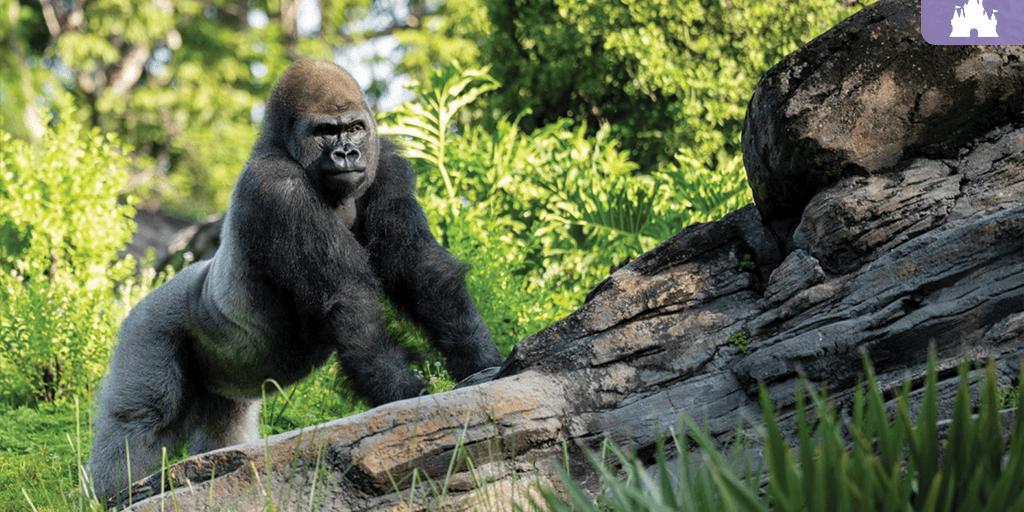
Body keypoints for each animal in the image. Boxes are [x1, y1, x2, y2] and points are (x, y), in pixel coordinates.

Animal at [87, 60, 504, 503]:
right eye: (325, 132)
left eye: (354, 128)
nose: (347, 153)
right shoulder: (277, 186)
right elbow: (348, 298)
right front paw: (402, 393)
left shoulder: (387, 165)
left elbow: (418, 266)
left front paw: (481, 360)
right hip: (147, 327)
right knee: (142, 417)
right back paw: (113, 494)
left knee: (224, 430)